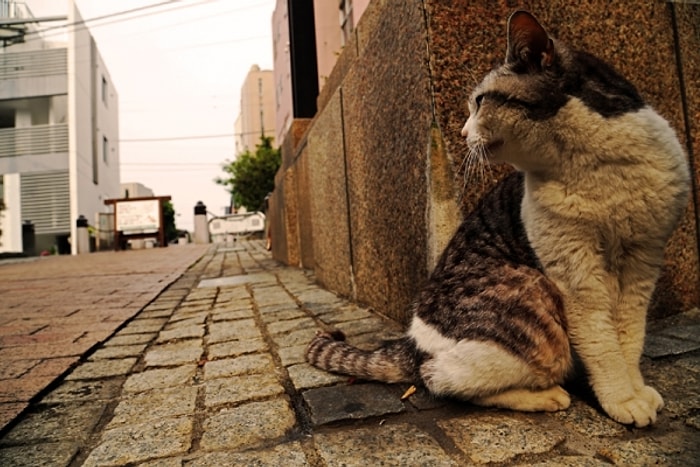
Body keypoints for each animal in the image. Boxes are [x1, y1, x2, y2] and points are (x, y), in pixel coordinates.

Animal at [306, 11, 688, 430]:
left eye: (479, 102)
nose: (461, 132)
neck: (591, 165)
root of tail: (410, 341)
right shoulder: (576, 272)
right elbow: (602, 341)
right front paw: (621, 398)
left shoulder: (643, 261)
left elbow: (629, 336)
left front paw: (635, 389)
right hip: (535, 295)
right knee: (441, 377)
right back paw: (545, 395)